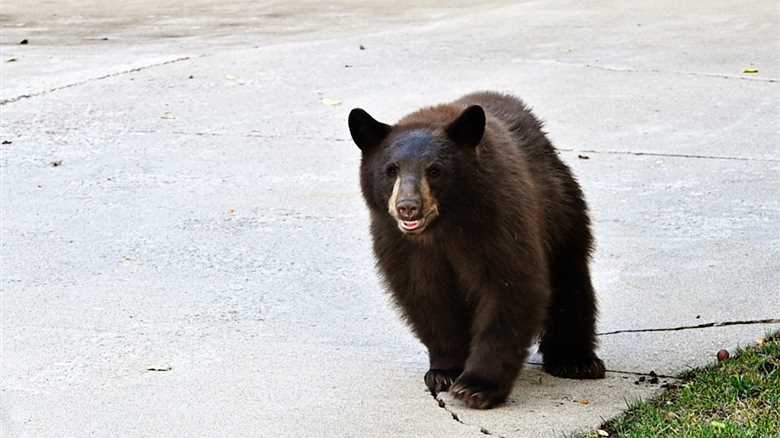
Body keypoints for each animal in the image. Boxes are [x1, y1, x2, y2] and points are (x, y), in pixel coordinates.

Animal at [347, 91, 605, 409]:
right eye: (390, 170)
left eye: (435, 170)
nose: (408, 206)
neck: (442, 229)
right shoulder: (400, 244)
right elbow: (426, 296)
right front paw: (445, 371)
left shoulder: (498, 220)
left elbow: (509, 288)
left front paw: (477, 386)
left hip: (560, 210)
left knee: (570, 279)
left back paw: (576, 360)